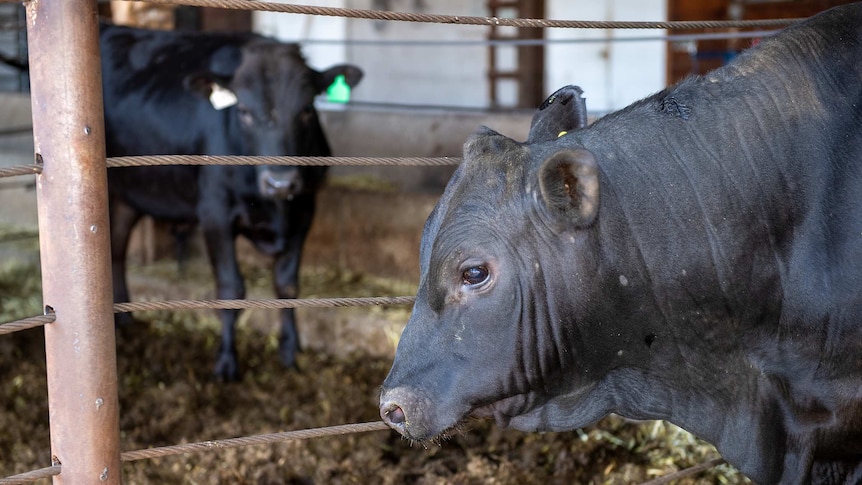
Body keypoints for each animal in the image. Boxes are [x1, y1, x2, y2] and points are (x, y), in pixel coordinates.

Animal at [102, 23, 364, 382]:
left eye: (307, 110)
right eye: (243, 112)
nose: (280, 182)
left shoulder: (306, 209)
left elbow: (287, 285)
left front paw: (290, 351)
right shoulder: (214, 212)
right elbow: (231, 289)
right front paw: (226, 363)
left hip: (127, 195)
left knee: (116, 247)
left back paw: (125, 320)